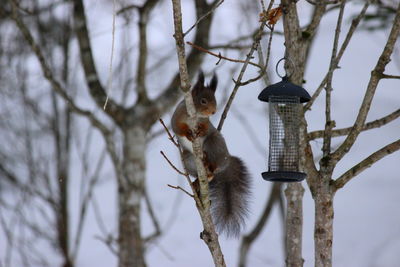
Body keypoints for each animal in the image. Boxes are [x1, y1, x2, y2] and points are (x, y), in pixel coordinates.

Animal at [171, 72, 250, 238]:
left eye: (214, 99)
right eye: (203, 100)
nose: (213, 112)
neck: (194, 115)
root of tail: (226, 159)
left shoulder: (207, 123)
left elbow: (206, 128)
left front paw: (200, 130)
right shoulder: (177, 116)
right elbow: (177, 127)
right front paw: (188, 133)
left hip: (213, 143)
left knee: (213, 170)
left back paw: (208, 165)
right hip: (187, 158)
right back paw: (197, 181)